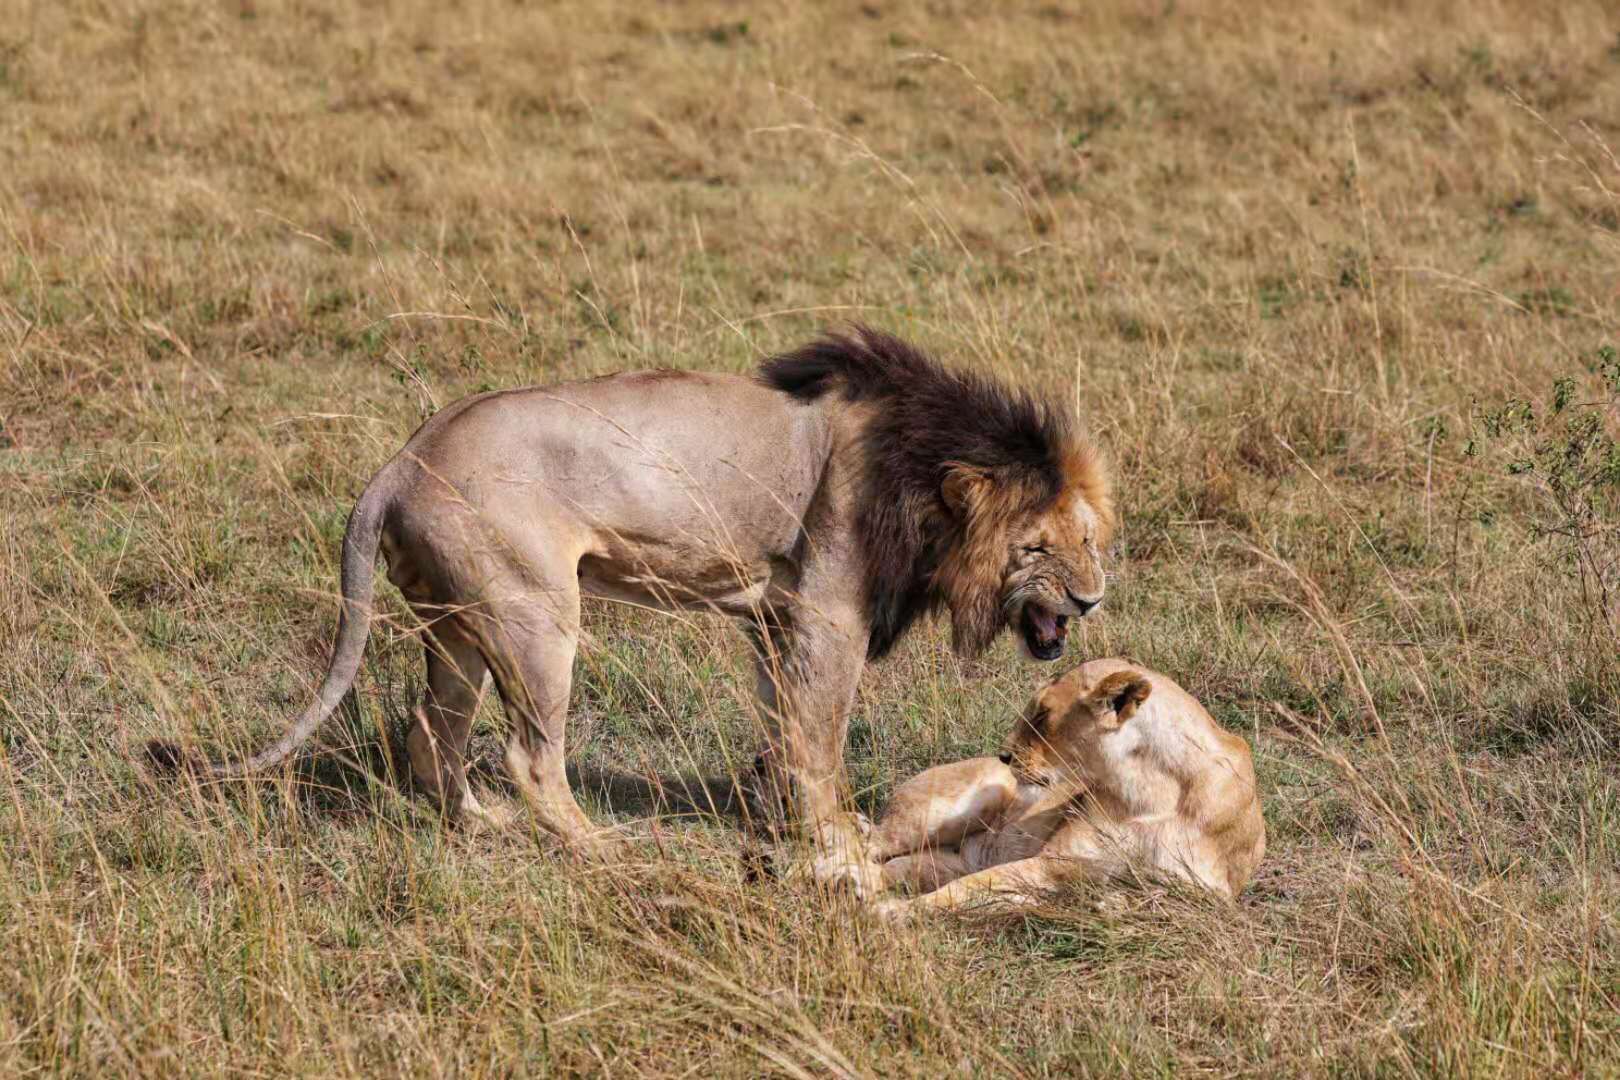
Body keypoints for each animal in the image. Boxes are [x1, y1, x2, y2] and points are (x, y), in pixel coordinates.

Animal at [149, 327, 1114, 887]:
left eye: (1091, 538)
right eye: (1038, 548)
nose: (1092, 598)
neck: (921, 469)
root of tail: (400, 458)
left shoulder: (774, 617)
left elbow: (782, 725)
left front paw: (775, 814)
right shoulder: (826, 615)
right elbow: (821, 738)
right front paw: (835, 833)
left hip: (457, 624)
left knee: (431, 731)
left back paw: (481, 826)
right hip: (536, 615)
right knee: (530, 754)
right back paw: (599, 850)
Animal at [868, 660, 1257, 919]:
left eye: (1042, 716)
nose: (1004, 756)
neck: (1151, 790)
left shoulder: (1213, 896)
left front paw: (1108, 902)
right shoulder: (1054, 862)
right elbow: (965, 889)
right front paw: (894, 912)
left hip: (941, 861)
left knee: (892, 867)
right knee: (865, 844)